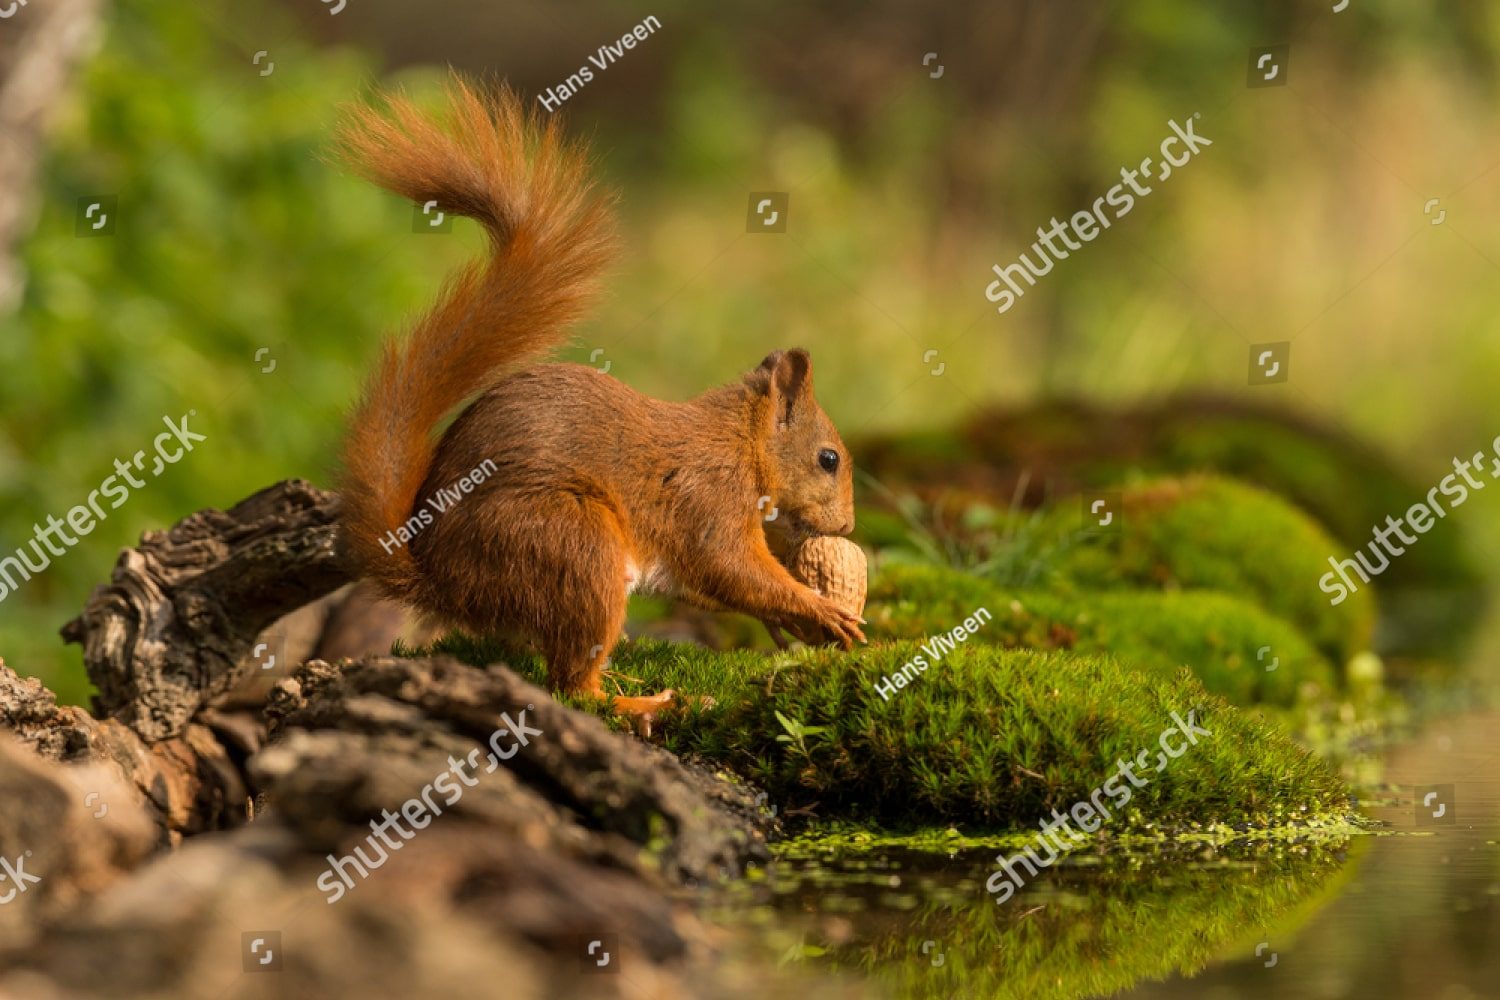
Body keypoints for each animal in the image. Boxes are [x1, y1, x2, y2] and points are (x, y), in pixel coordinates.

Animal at [335, 76, 866, 717]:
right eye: (828, 459)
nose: (847, 527)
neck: (741, 441)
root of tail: (443, 582)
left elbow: (713, 587)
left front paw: (789, 627)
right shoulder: (708, 497)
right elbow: (730, 567)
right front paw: (817, 609)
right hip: (572, 545)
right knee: (571, 685)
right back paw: (639, 704)